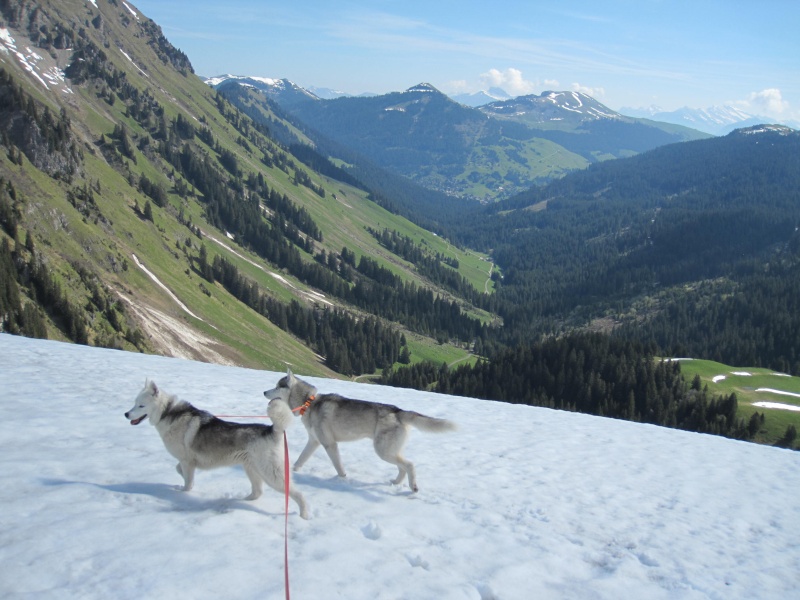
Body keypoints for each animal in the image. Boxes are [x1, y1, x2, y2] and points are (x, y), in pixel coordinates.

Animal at [125, 382, 310, 516]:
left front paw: (184, 491)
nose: (126, 414)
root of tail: (272, 430)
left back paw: (303, 516)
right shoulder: (186, 461)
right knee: (257, 492)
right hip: (252, 469)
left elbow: (187, 481)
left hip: (271, 473)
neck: (168, 412)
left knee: (299, 494)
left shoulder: (187, 461)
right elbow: (179, 470)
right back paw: (239, 502)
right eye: (134, 403)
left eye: (141, 406)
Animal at [266, 370, 456, 492]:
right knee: (402, 467)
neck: (309, 402)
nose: (263, 392)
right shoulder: (314, 441)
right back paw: (395, 482)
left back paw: (413, 487)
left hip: (383, 451)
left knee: (409, 465)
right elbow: (300, 459)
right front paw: (292, 471)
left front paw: (342, 479)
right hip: (389, 450)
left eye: (277, 386)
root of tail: (398, 411)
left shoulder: (329, 444)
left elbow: (338, 466)